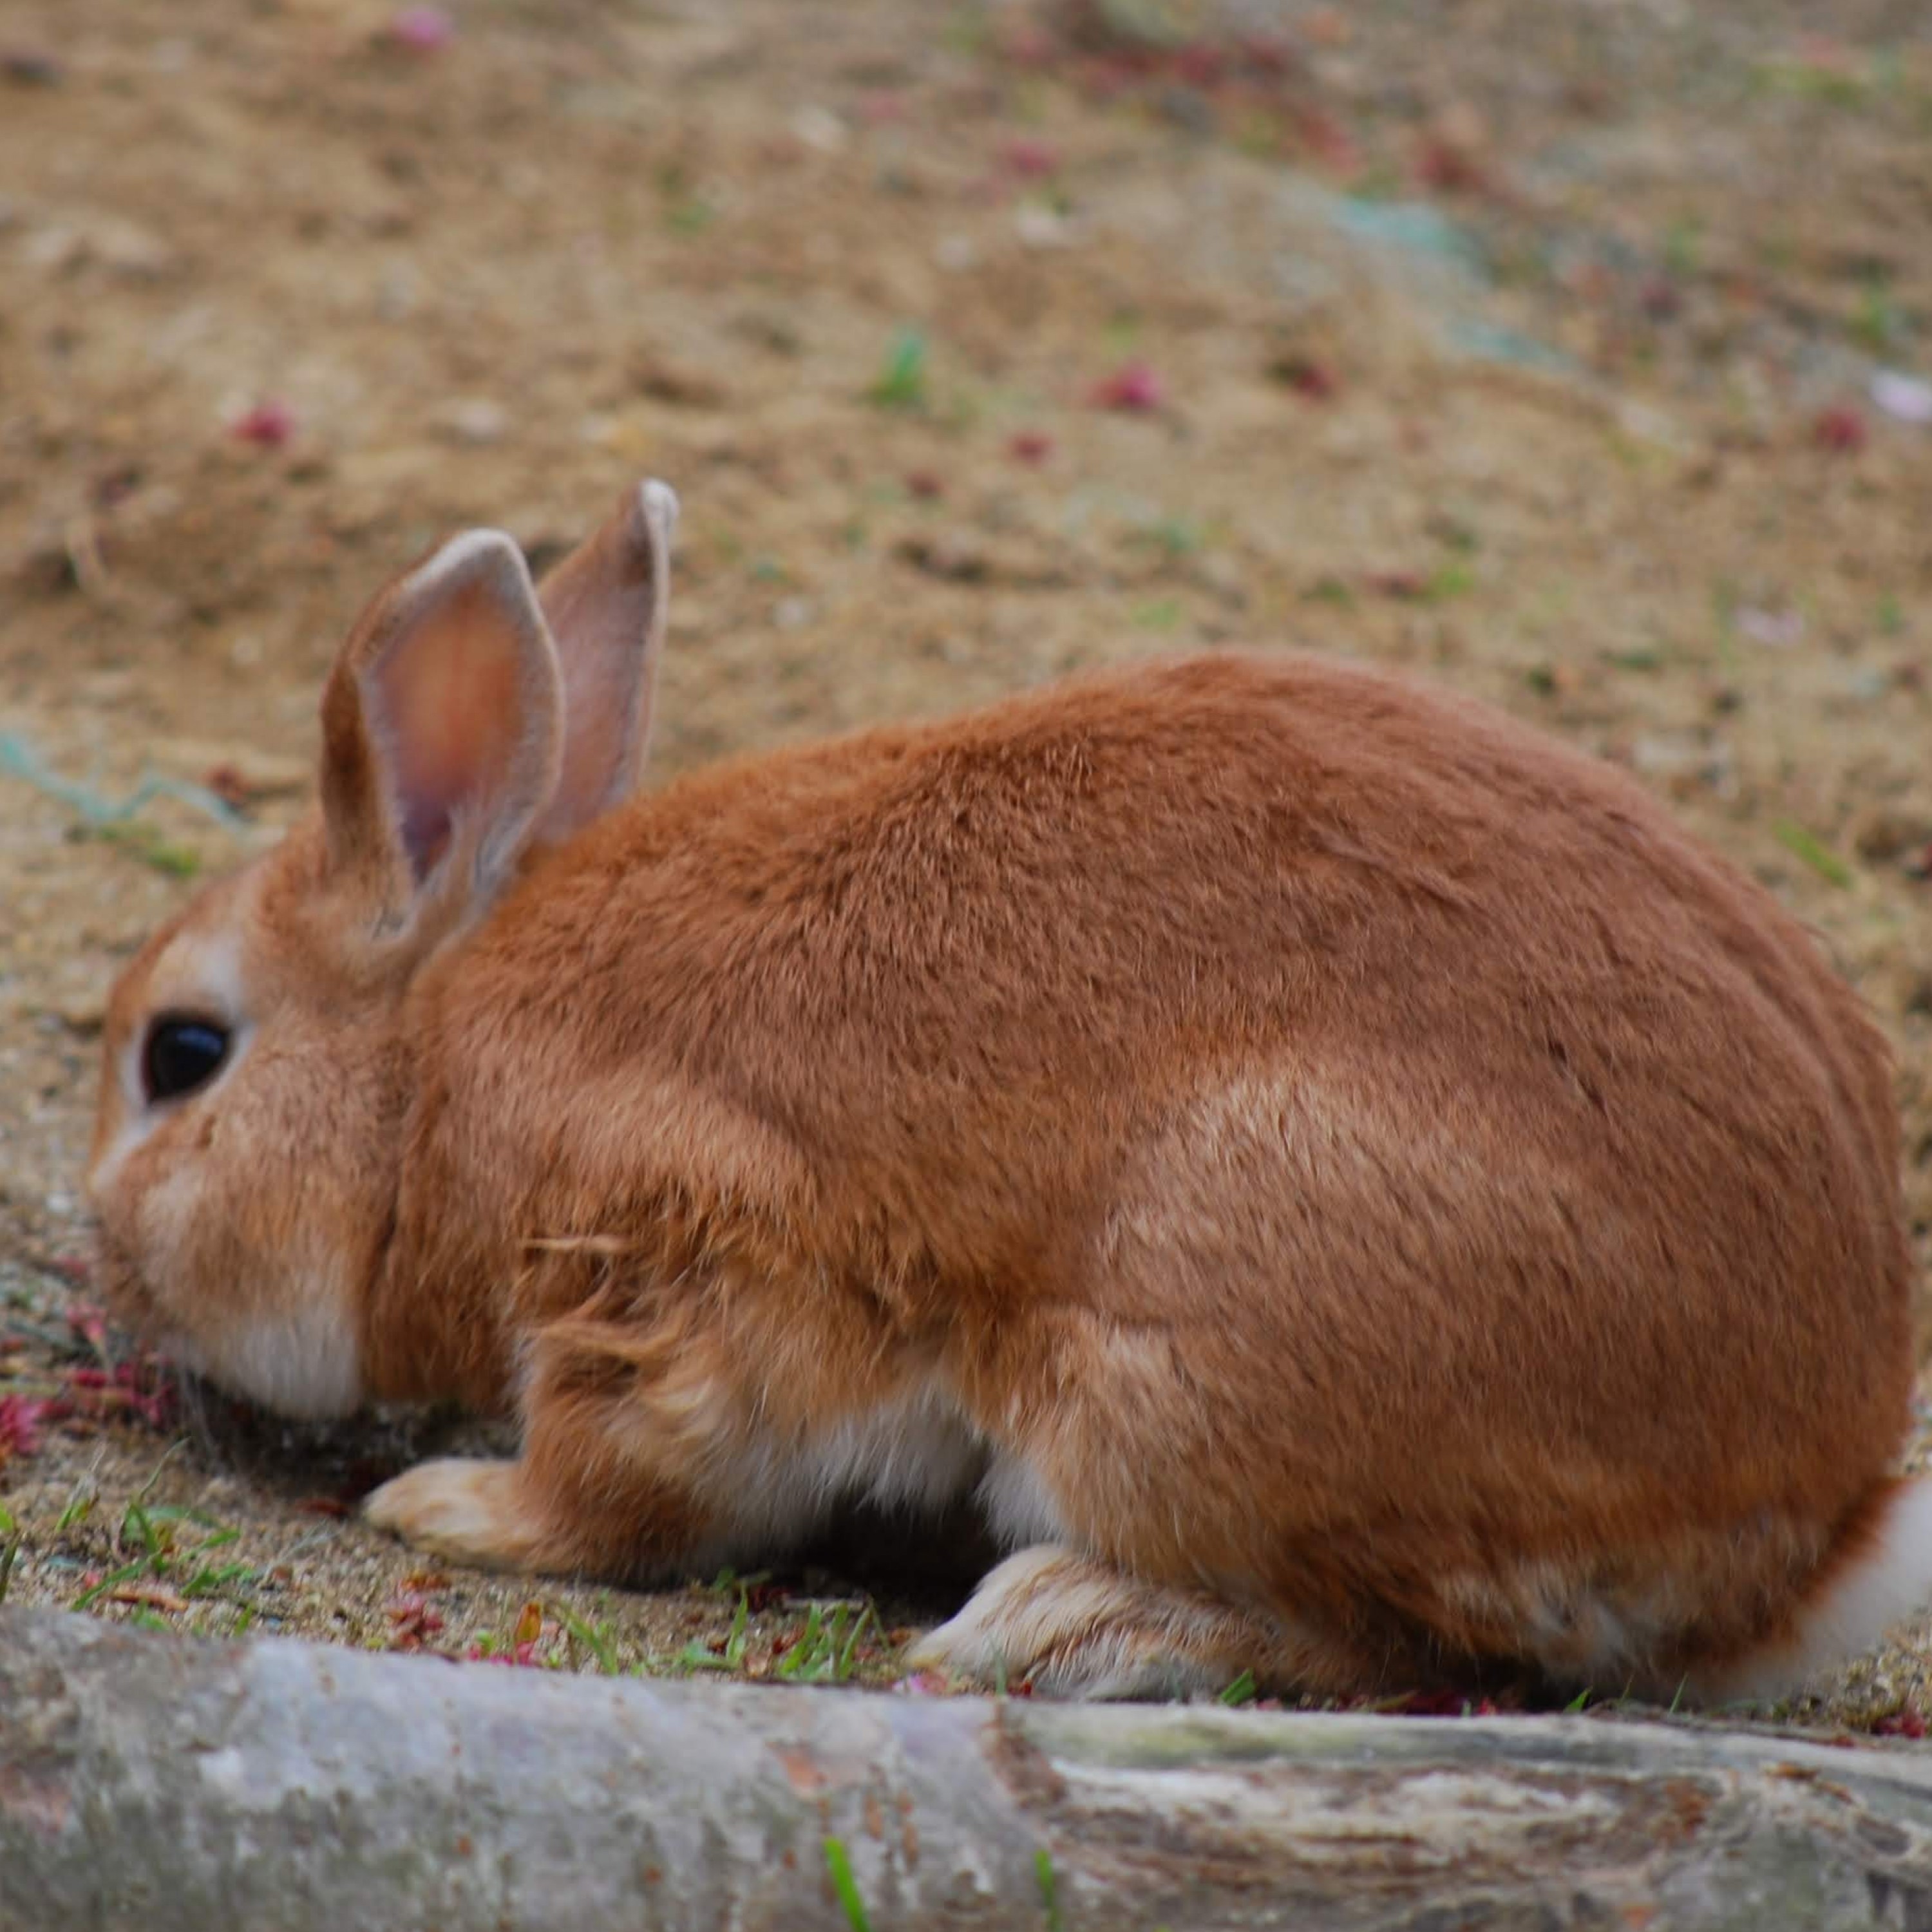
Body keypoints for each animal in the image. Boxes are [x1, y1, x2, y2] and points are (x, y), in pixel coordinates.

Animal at [91, 483, 1932, 1708]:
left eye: (184, 1054)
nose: (104, 1270)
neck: (430, 1076)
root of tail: (1822, 1510)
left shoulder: (668, 1275)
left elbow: (627, 1488)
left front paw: (445, 1508)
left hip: (1184, 1378)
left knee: (1406, 1643)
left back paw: (1058, 1624)